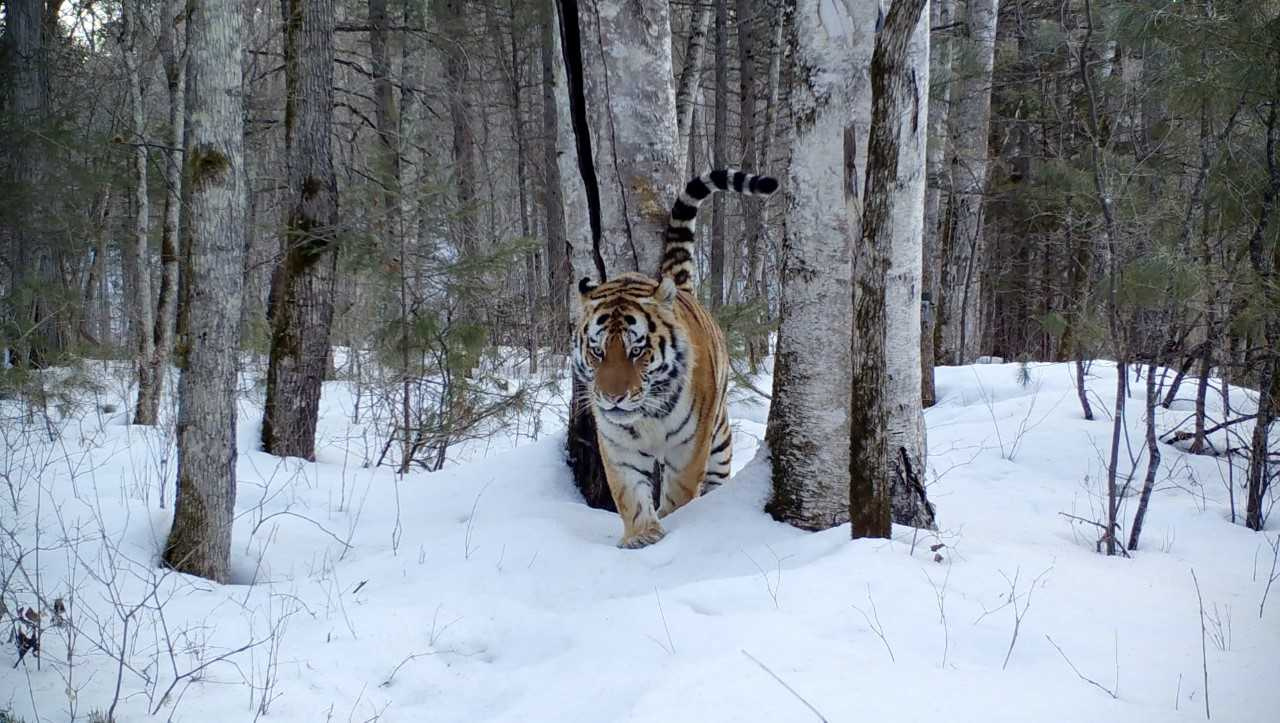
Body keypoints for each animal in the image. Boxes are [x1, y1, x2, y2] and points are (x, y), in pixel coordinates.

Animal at [573, 170, 773, 547]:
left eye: (637, 351)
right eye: (597, 351)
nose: (612, 398)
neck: (646, 416)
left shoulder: (688, 446)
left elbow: (680, 492)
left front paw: (673, 523)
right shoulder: (618, 445)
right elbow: (630, 494)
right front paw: (641, 536)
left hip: (719, 438)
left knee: (716, 475)